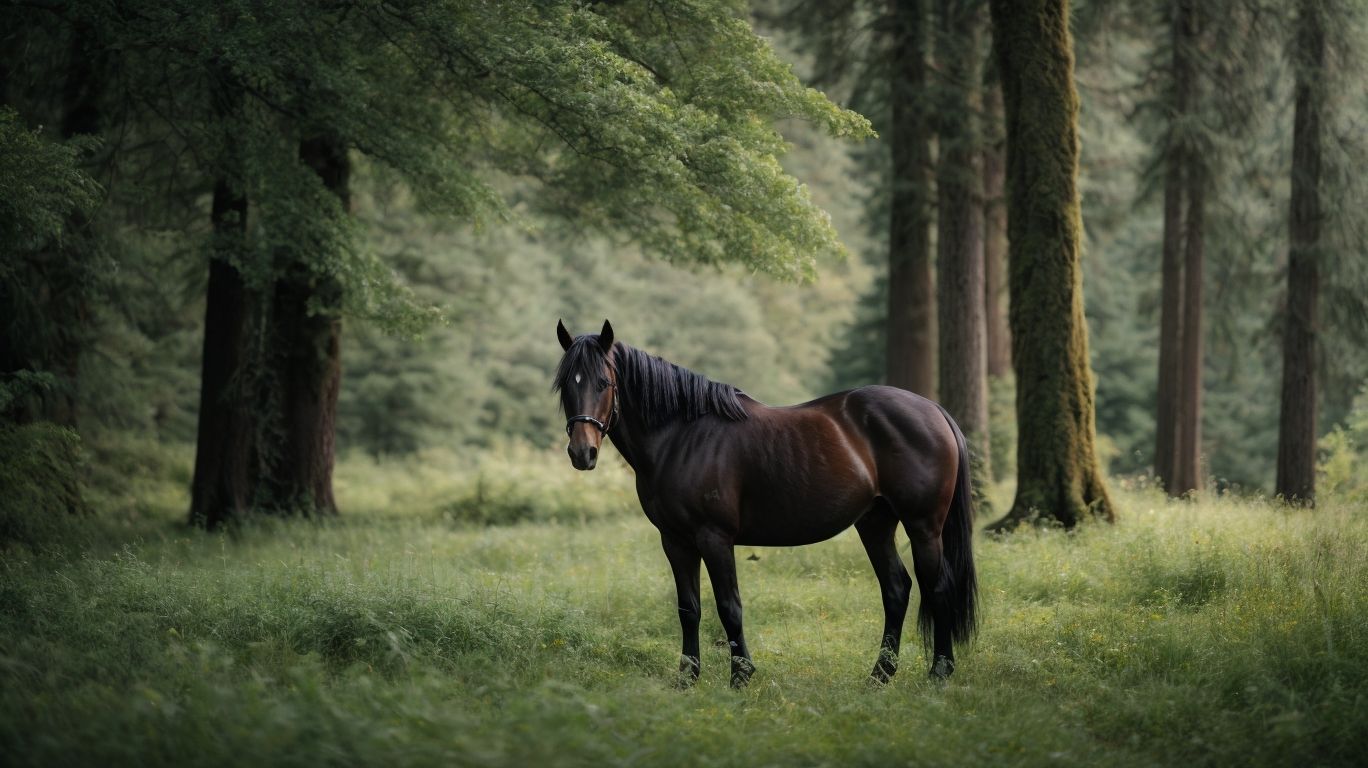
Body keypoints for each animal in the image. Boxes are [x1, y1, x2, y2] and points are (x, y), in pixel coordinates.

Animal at [554, 319, 977, 688]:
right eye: (564, 386)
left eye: (605, 382)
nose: (582, 453)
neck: (681, 437)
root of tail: (934, 410)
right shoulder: (675, 541)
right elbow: (689, 609)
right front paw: (687, 679)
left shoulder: (714, 538)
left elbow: (729, 606)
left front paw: (740, 677)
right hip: (875, 524)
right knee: (896, 589)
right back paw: (879, 676)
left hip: (923, 526)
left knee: (937, 586)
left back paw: (939, 673)